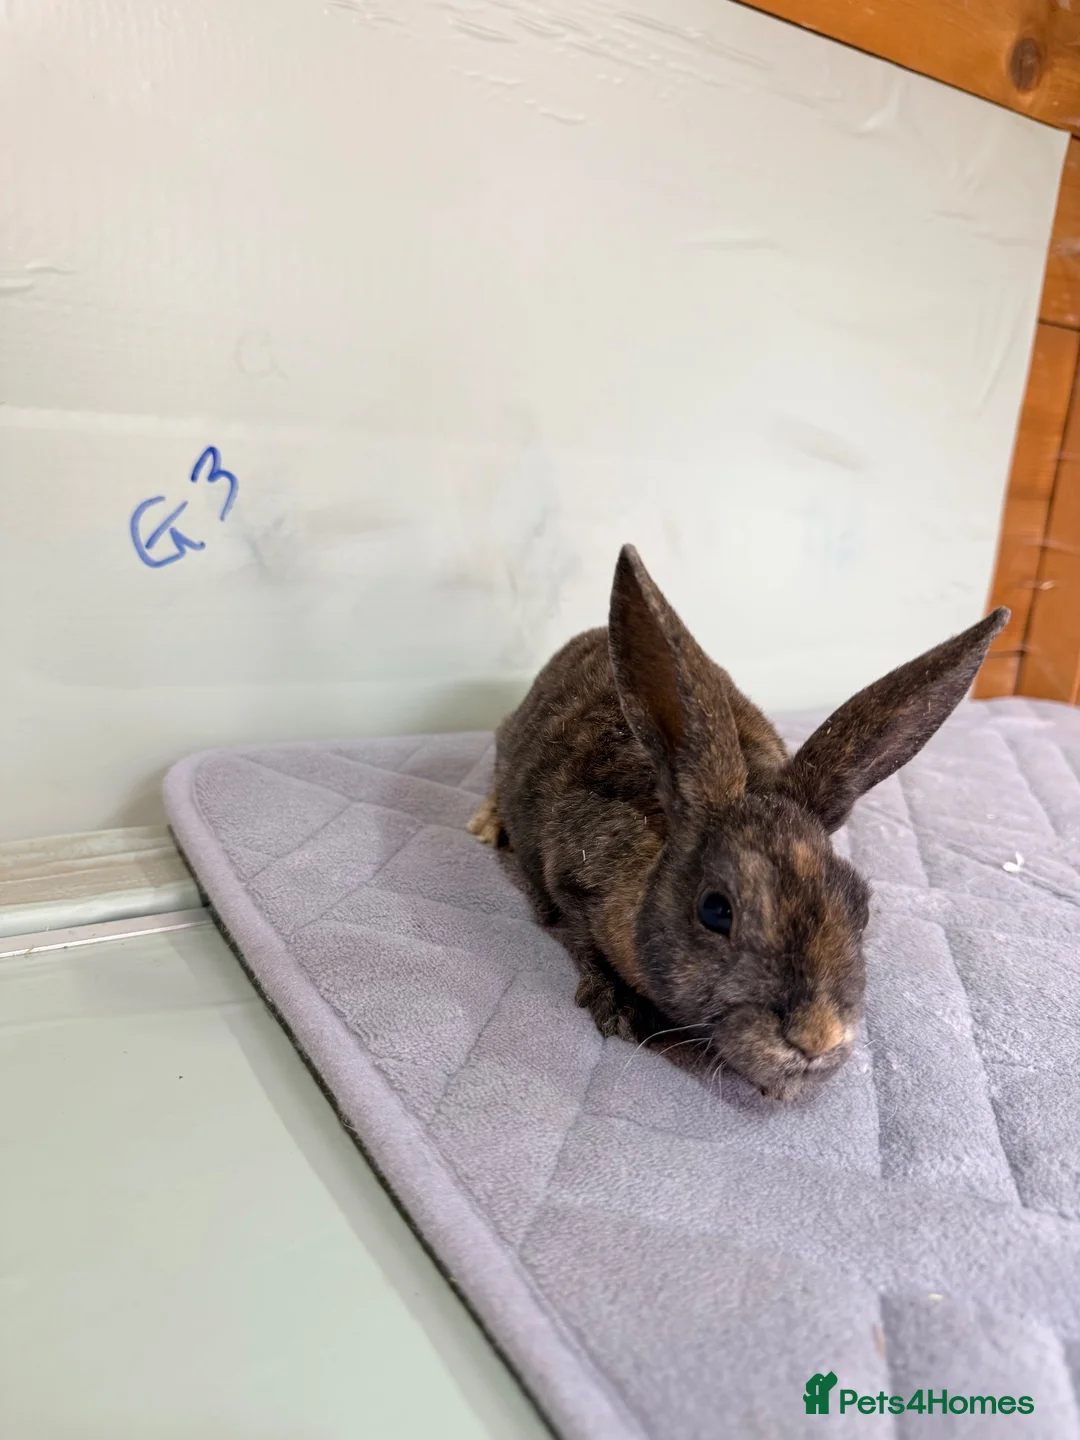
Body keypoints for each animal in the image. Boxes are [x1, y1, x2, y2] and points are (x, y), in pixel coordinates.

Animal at [468, 545, 1008, 1100]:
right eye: (716, 910)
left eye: (861, 910)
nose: (816, 1039)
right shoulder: (567, 882)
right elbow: (581, 938)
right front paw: (619, 1009)